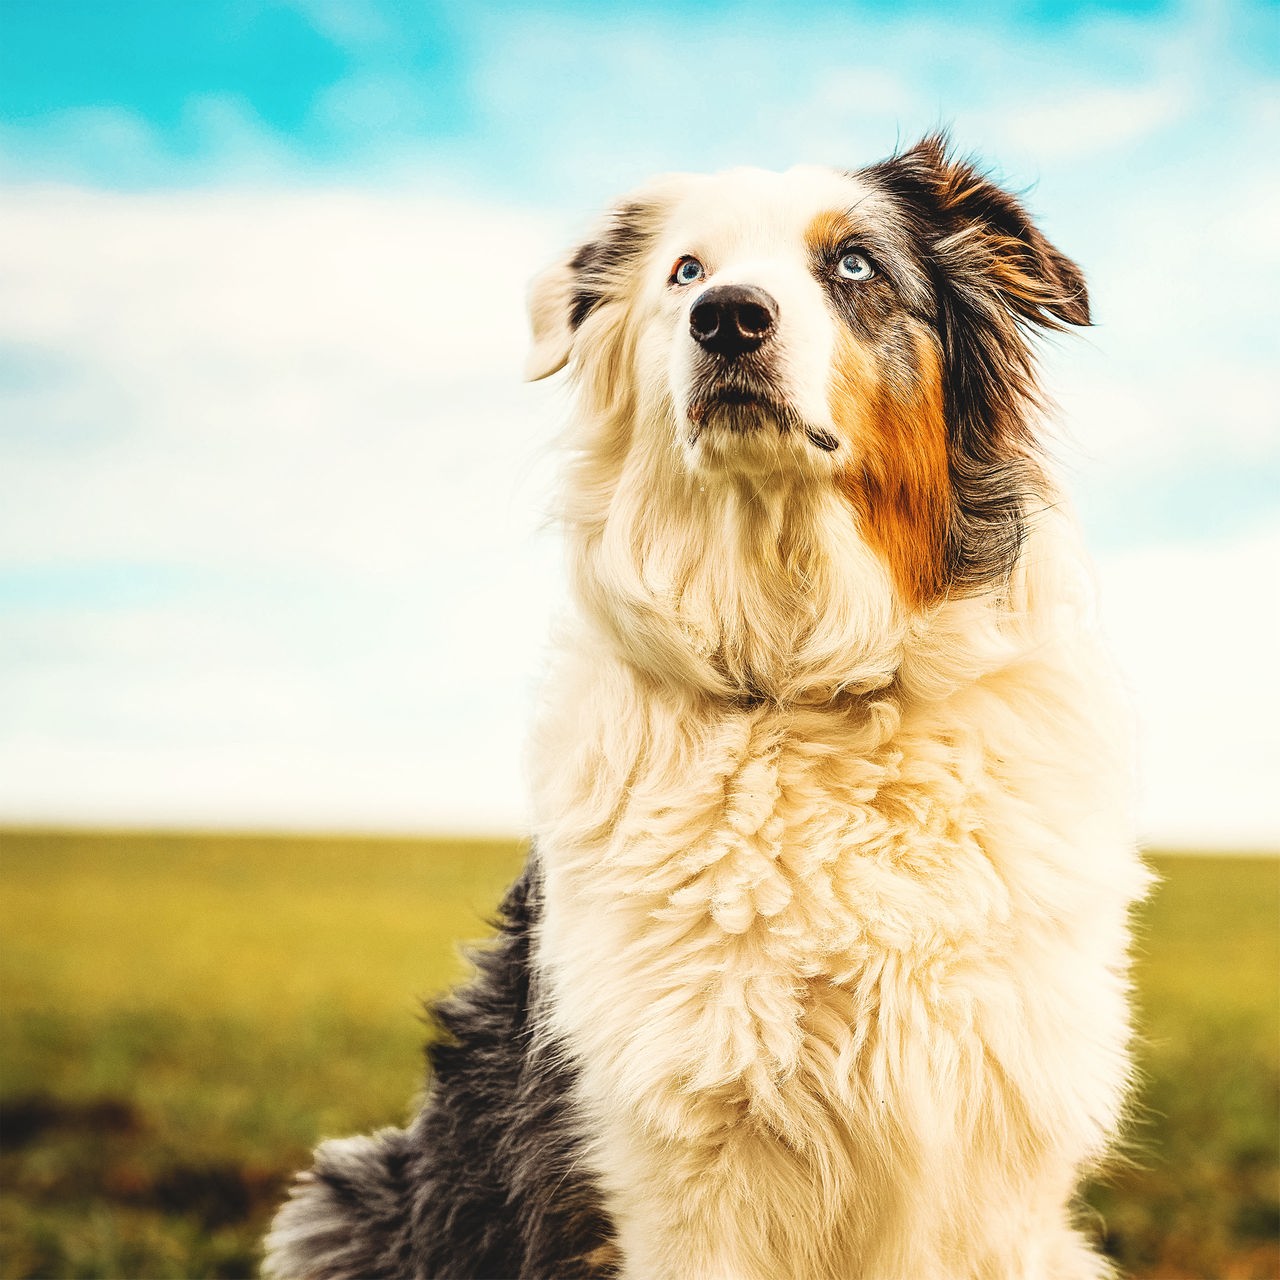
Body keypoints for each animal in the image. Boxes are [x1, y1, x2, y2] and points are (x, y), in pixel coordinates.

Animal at [267, 137, 1152, 1280]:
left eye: (855, 264)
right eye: (685, 271)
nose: (727, 317)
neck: (808, 684)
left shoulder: (990, 1163)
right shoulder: (677, 1170)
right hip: (349, 1196)